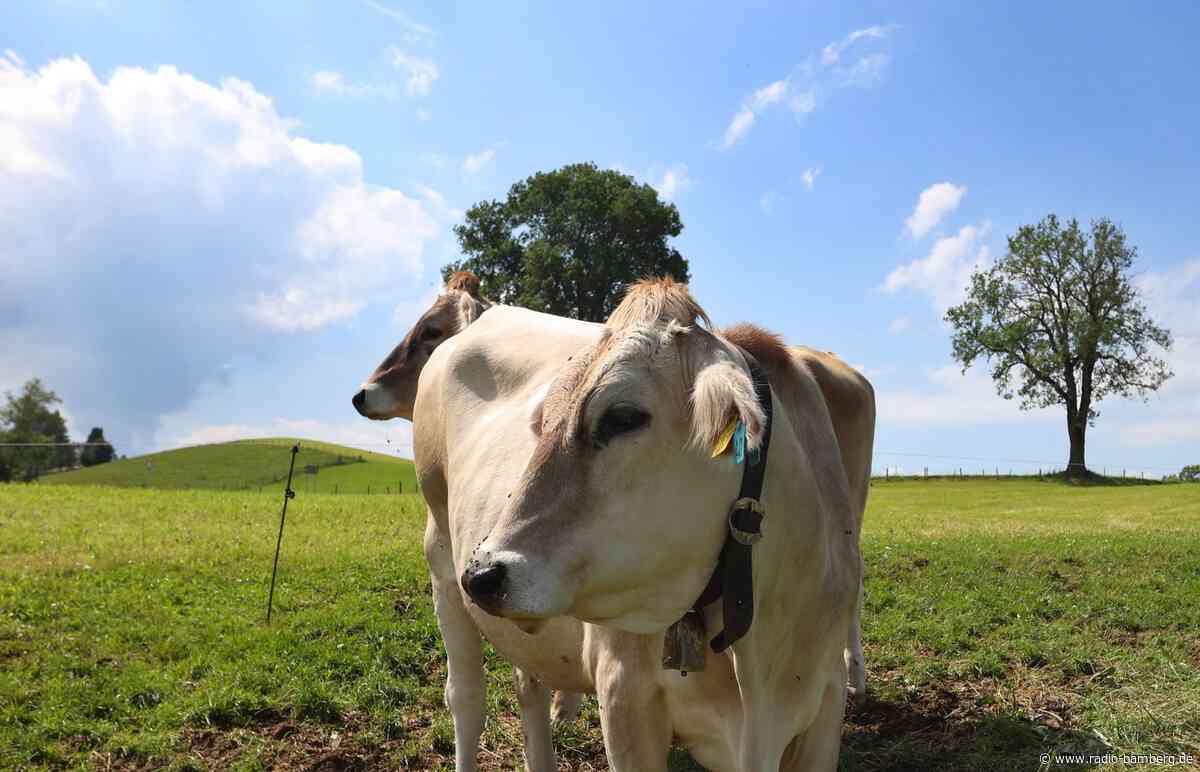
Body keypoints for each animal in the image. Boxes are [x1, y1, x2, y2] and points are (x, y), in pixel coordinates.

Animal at [354, 273, 874, 769]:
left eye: (622, 417)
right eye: (546, 421)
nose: (483, 573)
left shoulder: (824, 712)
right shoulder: (624, 696)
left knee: (529, 685)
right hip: (442, 563)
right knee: (466, 700)